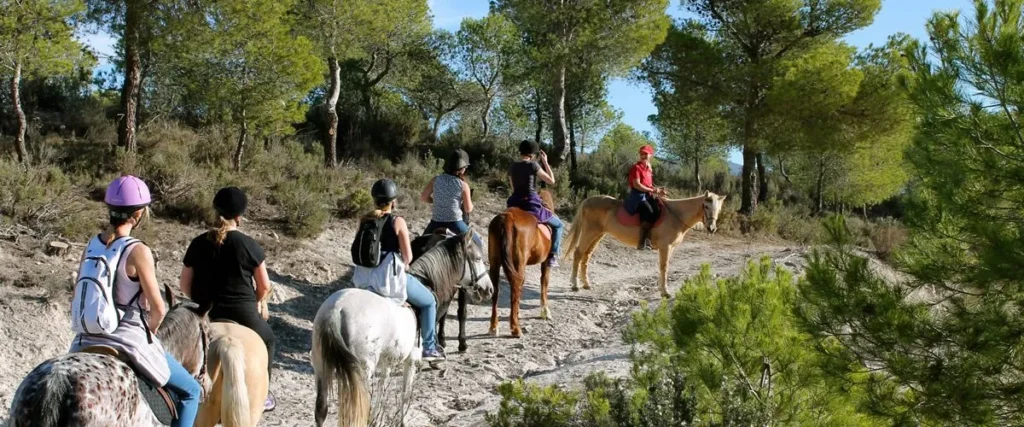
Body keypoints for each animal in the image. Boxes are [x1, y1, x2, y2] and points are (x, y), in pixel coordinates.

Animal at [307, 229, 491, 425]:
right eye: (478, 258)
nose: (488, 289)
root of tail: (337, 309)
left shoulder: (387, 362)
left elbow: (382, 389)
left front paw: (376, 420)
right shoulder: (411, 360)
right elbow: (405, 394)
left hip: (321, 366)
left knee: (321, 410)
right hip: (362, 369)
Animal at [485, 188, 557, 335]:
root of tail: (507, 217)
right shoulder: (546, 262)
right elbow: (544, 282)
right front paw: (545, 311)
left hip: (495, 262)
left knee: (497, 288)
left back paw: (494, 326)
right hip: (519, 262)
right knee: (515, 285)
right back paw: (515, 328)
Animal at [565, 191, 724, 296]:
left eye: (719, 208)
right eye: (706, 206)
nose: (712, 228)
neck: (675, 215)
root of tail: (588, 200)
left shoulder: (671, 248)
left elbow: (664, 267)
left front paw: (661, 289)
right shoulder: (665, 247)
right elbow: (664, 267)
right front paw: (665, 292)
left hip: (597, 235)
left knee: (586, 256)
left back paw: (586, 284)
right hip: (589, 232)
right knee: (578, 253)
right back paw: (575, 285)